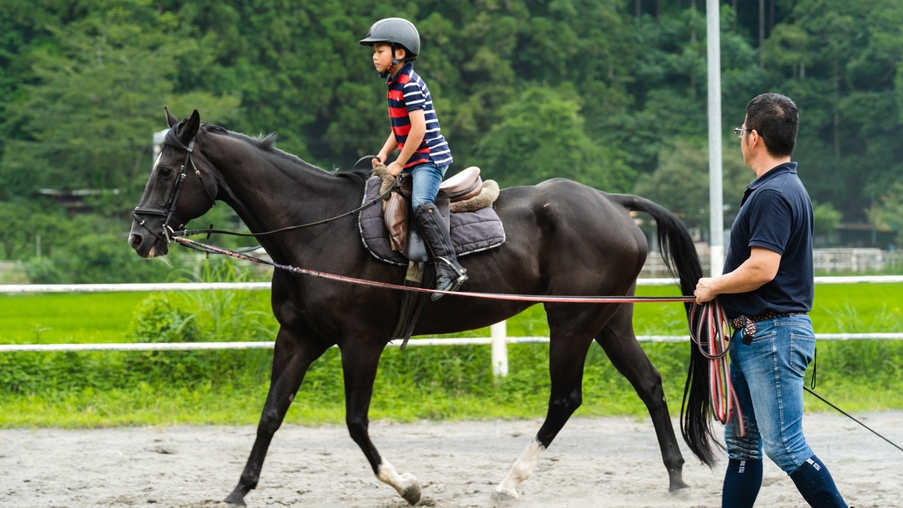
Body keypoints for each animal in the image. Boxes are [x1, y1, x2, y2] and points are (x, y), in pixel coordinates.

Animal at [128, 109, 718, 506]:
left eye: (167, 172)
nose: (140, 236)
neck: (317, 229)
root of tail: (614, 202)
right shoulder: (298, 337)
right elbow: (271, 413)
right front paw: (240, 489)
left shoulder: (360, 342)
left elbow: (356, 422)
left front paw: (408, 486)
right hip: (609, 319)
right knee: (649, 384)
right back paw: (675, 477)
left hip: (571, 319)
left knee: (565, 397)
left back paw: (510, 481)